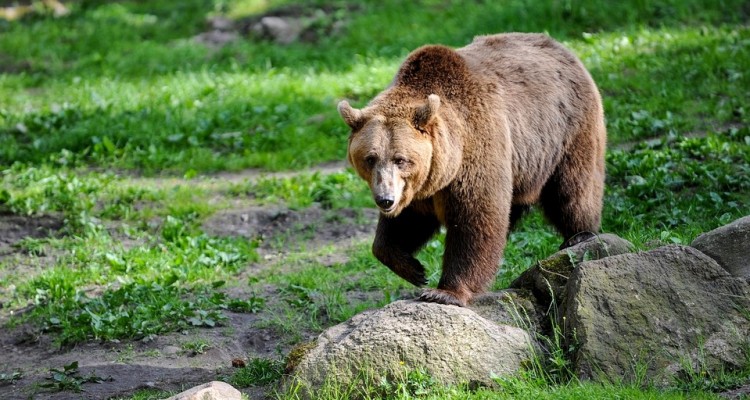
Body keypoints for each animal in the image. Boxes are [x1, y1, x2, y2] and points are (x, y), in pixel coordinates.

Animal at [338, 33, 606, 307]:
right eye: (370, 158)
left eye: (400, 159)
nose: (385, 199)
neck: (446, 164)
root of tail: (561, 47)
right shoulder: (418, 188)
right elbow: (405, 224)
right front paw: (414, 269)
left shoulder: (476, 151)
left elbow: (476, 219)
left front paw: (444, 291)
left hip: (567, 131)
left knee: (572, 190)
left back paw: (580, 235)